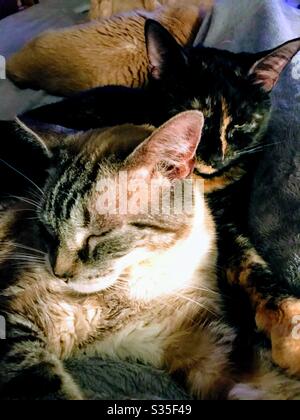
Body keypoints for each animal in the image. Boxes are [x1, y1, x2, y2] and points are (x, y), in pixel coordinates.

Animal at [0, 114, 300, 400]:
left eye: (98, 235)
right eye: (48, 229)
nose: (59, 273)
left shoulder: (200, 341)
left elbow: (272, 385)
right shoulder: (12, 317)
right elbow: (42, 382)